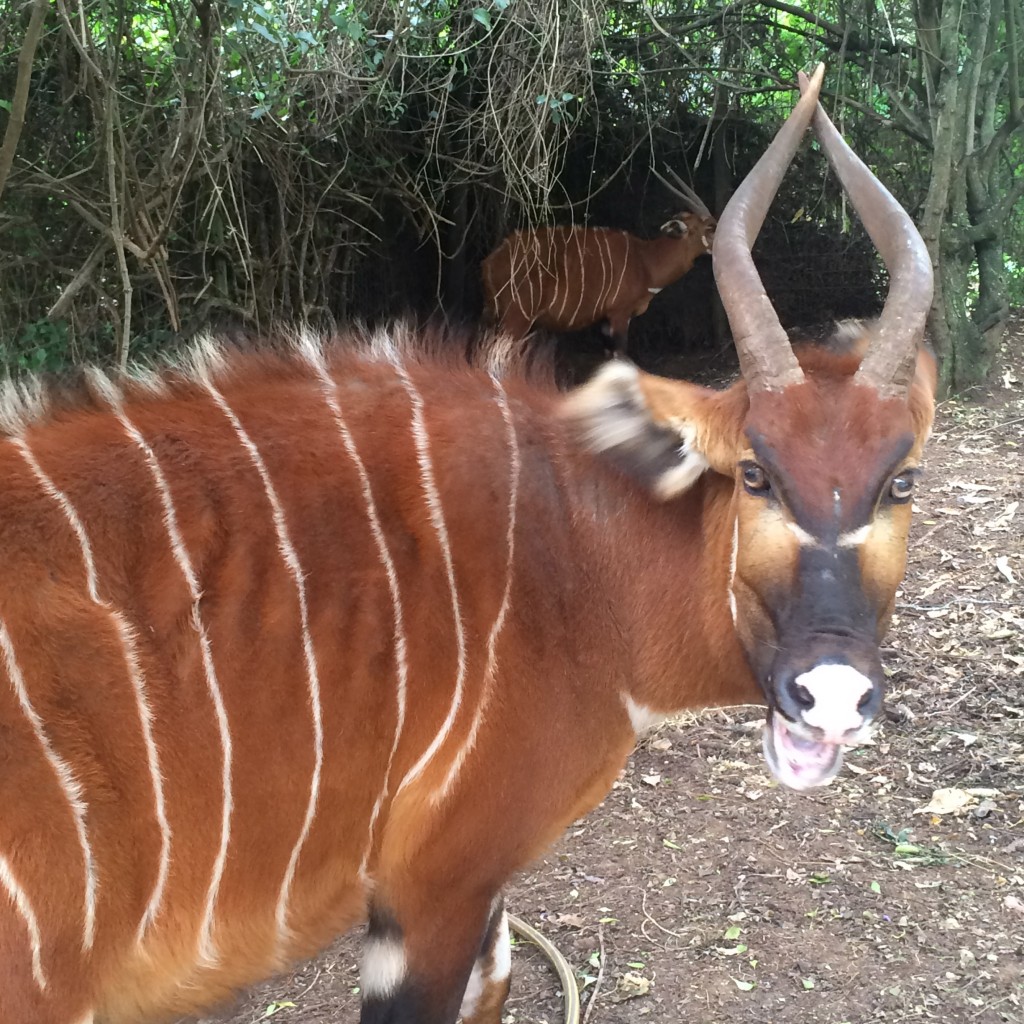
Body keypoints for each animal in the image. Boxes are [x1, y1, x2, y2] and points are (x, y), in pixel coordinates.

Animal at [477, 169, 712, 354]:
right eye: (710, 227)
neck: (645, 261)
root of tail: (489, 262)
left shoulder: (604, 321)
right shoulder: (619, 314)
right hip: (517, 318)